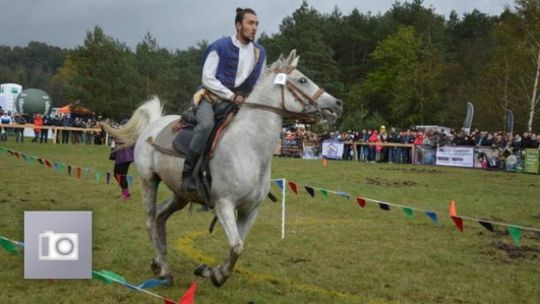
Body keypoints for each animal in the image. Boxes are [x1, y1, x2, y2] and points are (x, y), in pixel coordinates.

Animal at [102, 51, 342, 286]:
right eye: (302, 80)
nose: (337, 104)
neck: (250, 147)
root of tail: (154, 124)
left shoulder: (250, 210)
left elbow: (238, 245)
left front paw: (211, 271)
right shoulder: (224, 203)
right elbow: (236, 246)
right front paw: (216, 275)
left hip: (180, 194)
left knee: (161, 216)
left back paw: (158, 263)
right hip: (149, 180)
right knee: (151, 221)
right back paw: (164, 269)